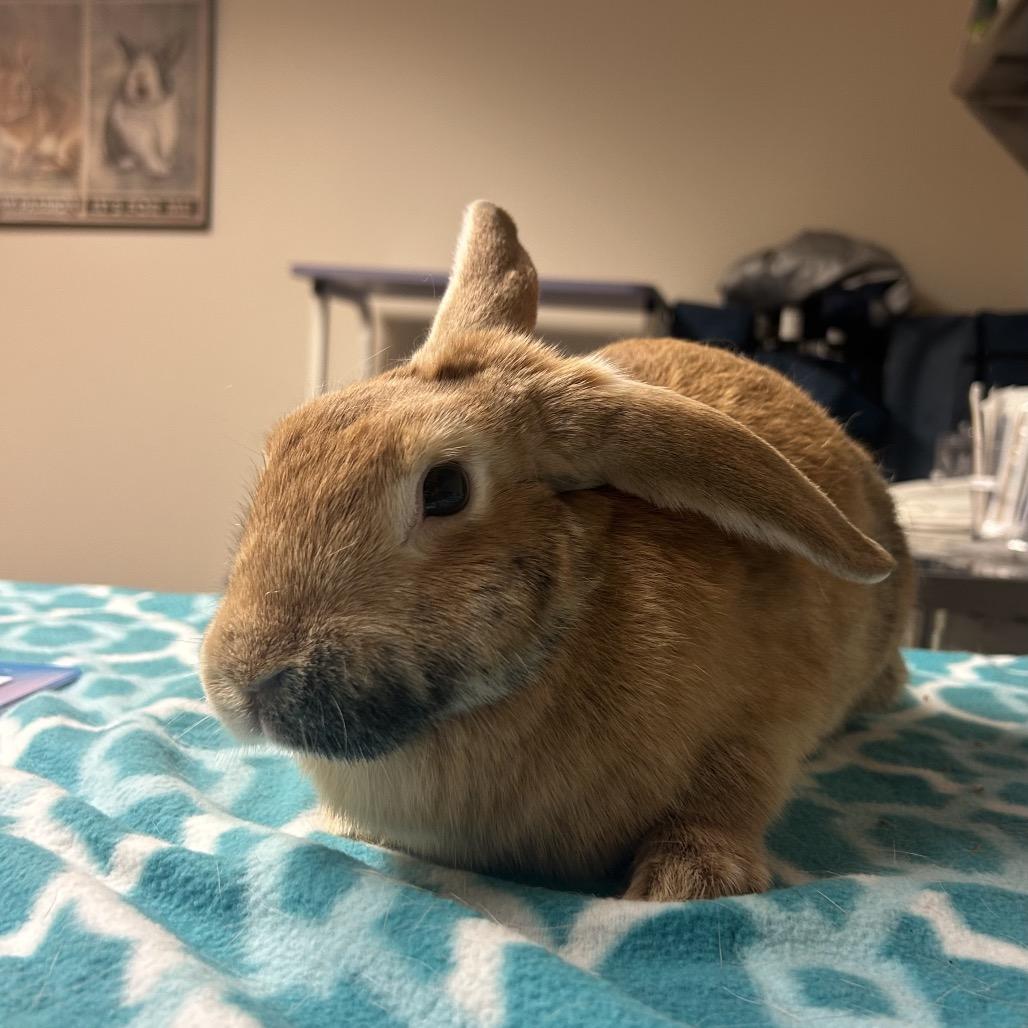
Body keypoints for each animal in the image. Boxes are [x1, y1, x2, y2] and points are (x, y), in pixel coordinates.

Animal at [0, 40, 81, 176]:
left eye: (21, 86)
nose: (4, 109)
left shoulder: (28, 143)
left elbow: (20, 155)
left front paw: (14, 170)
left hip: (65, 144)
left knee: (69, 166)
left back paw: (45, 168)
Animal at [104, 33, 185, 178]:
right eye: (132, 68)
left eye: (157, 66)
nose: (140, 88)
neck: (148, 106)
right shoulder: (137, 128)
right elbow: (148, 147)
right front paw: (159, 168)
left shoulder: (168, 122)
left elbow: (166, 142)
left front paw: (167, 163)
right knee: (119, 155)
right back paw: (127, 163)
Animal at [201, 201, 914, 901]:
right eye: (287, 442)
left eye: (445, 488)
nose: (243, 683)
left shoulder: (767, 724)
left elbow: (733, 792)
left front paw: (689, 879)